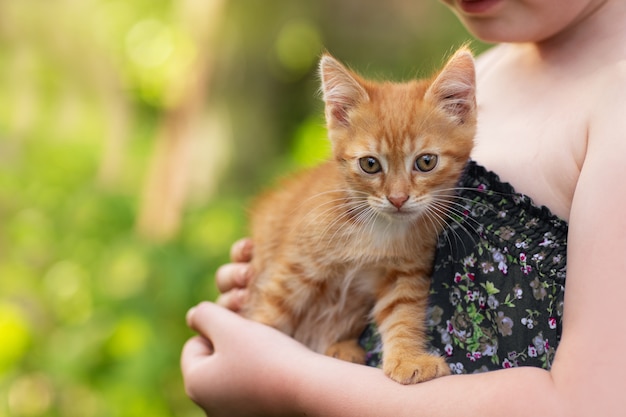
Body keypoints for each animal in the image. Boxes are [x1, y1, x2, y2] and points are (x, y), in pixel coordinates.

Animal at [241, 47, 476, 382]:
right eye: (370, 164)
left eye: (426, 162)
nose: (397, 198)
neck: (375, 227)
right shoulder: (293, 270)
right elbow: (268, 315)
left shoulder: (403, 272)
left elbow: (403, 313)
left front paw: (407, 358)